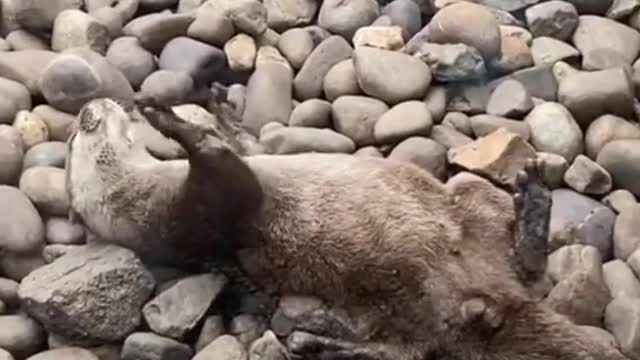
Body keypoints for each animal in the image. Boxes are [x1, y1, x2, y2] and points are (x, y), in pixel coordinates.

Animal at [66, 96, 632, 360]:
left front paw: (219, 109)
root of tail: (494, 301)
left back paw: (532, 199)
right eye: (79, 135)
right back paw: (323, 343)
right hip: (422, 310)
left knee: (522, 262)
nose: (90, 106)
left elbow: (242, 144)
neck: (152, 193)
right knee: (415, 347)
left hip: (471, 206)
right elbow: (225, 168)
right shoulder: (202, 209)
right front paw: (171, 120)